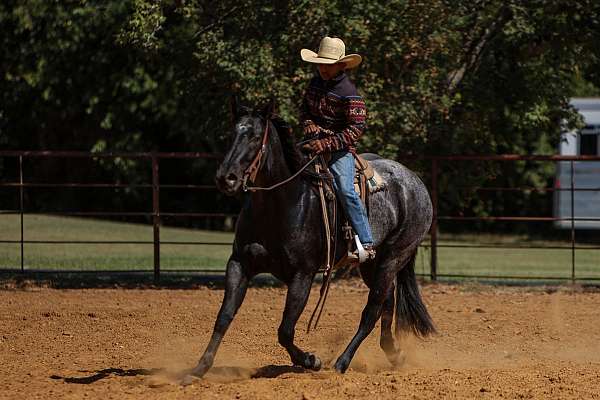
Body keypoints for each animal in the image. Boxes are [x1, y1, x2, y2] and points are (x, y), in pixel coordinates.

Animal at [192, 101, 436, 378]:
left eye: (255, 136)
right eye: (232, 134)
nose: (226, 178)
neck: (281, 204)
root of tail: (415, 182)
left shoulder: (303, 274)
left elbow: (285, 330)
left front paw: (311, 360)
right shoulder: (239, 263)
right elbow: (224, 316)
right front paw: (200, 367)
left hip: (395, 256)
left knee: (372, 310)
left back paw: (341, 362)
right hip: (372, 263)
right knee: (387, 300)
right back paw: (393, 353)